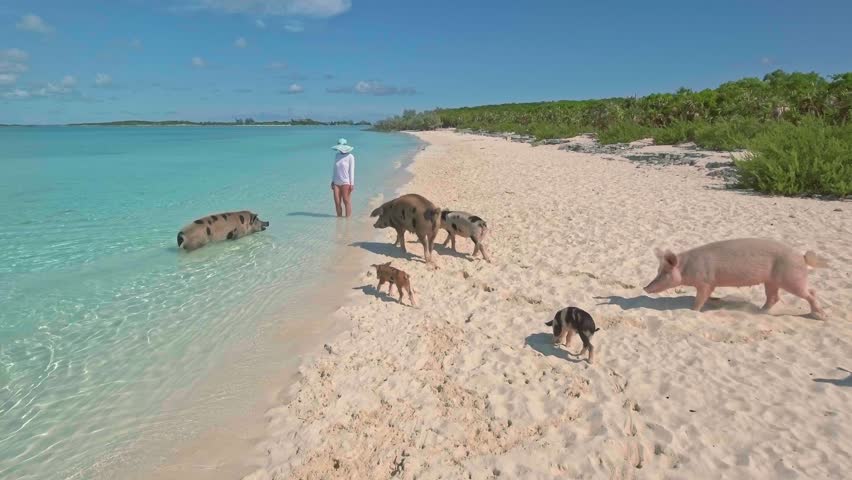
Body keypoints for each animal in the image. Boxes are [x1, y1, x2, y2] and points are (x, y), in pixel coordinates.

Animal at [644, 238, 828, 319]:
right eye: (658, 270)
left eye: (664, 273)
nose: (645, 287)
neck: (687, 267)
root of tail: (802, 257)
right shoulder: (710, 283)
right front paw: (714, 301)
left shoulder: (705, 281)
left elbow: (700, 298)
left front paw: (693, 311)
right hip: (771, 281)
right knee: (774, 297)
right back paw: (759, 312)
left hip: (791, 278)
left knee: (811, 292)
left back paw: (819, 316)